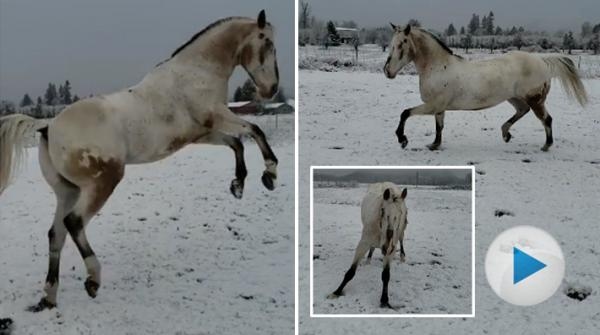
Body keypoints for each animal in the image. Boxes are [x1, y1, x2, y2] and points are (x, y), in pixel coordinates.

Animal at [0, 9, 282, 312]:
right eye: (268, 43)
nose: (271, 90)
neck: (197, 71)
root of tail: (49, 126)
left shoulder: (203, 133)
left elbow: (237, 143)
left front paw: (238, 185)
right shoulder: (217, 116)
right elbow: (255, 130)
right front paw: (270, 175)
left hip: (67, 190)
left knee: (56, 234)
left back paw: (49, 297)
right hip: (104, 182)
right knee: (74, 223)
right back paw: (93, 281)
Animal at [382, 24, 588, 152]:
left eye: (401, 44)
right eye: (391, 44)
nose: (387, 71)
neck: (439, 67)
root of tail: (541, 60)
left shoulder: (433, 105)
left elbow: (405, 113)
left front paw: (402, 139)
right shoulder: (439, 108)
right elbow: (439, 127)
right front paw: (434, 145)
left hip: (535, 99)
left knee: (546, 119)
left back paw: (546, 146)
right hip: (515, 98)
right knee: (523, 111)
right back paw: (506, 134)